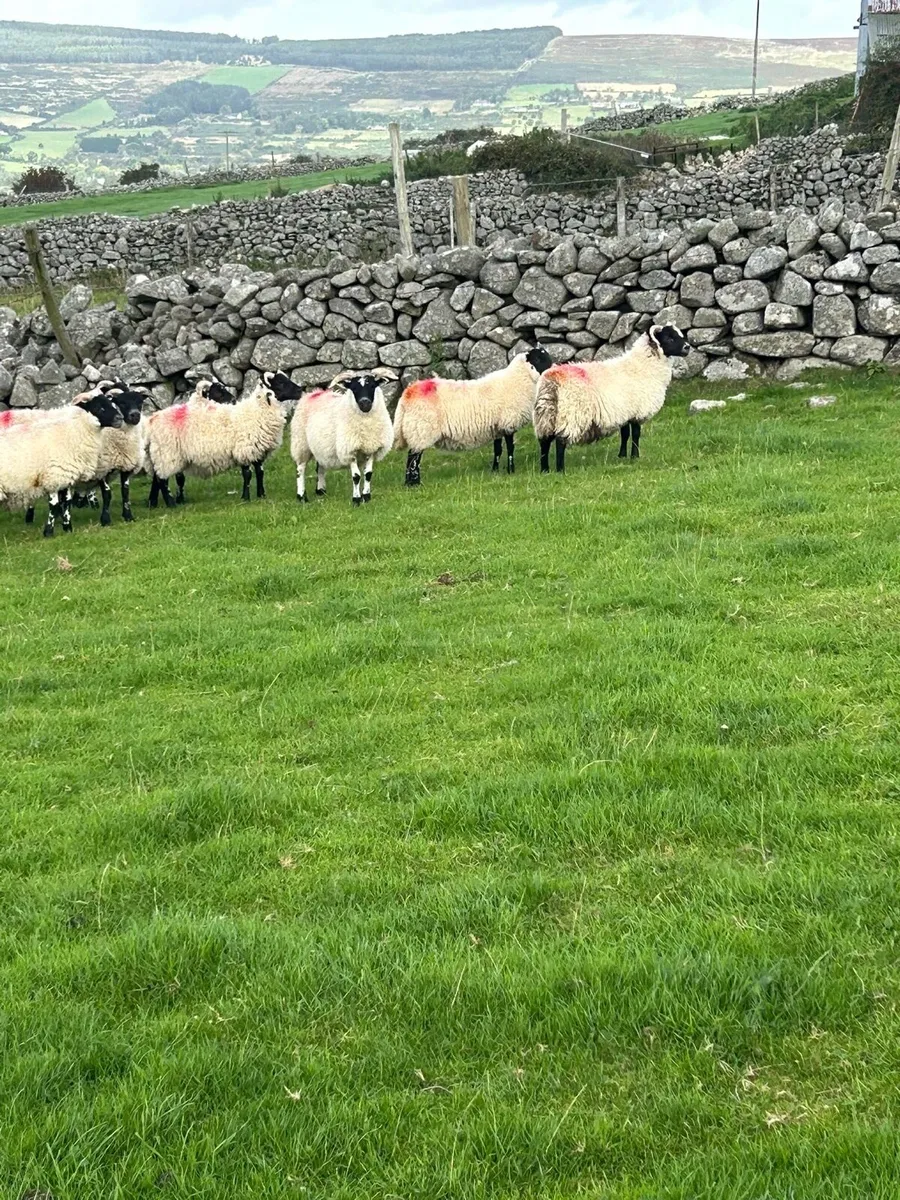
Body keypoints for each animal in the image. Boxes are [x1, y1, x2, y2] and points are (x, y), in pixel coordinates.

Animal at [0, 394, 125, 537]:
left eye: (111, 403)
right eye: (99, 407)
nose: (120, 418)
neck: (73, 432)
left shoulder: (66, 475)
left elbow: (66, 503)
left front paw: (68, 528)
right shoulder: (54, 477)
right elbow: (54, 505)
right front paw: (48, 532)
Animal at [145, 370, 302, 507]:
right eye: (280, 382)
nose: (300, 390)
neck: (257, 410)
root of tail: (152, 420)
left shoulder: (257, 450)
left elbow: (260, 472)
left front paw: (261, 495)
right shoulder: (243, 449)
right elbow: (247, 474)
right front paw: (246, 498)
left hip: (163, 456)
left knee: (159, 478)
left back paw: (155, 502)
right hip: (167, 454)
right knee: (162, 480)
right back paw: (171, 504)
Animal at [290, 369, 397, 506]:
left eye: (373, 385)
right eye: (354, 388)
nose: (365, 403)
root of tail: (314, 394)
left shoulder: (372, 449)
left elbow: (368, 475)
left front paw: (366, 497)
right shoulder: (350, 451)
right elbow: (356, 476)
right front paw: (356, 499)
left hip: (320, 446)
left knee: (320, 467)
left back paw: (321, 490)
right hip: (301, 444)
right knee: (300, 470)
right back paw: (302, 496)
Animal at [392, 343, 553, 487]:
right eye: (538, 359)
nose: (553, 368)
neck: (518, 380)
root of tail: (408, 393)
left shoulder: (497, 427)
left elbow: (497, 450)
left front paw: (495, 470)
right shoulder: (508, 422)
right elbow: (510, 449)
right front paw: (511, 470)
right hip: (421, 430)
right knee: (413, 458)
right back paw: (414, 484)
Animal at [533, 325, 690, 474]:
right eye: (669, 338)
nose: (687, 347)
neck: (643, 366)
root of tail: (552, 379)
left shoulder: (625, 412)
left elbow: (625, 434)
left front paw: (622, 456)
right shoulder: (637, 411)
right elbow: (636, 434)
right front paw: (635, 456)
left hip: (545, 415)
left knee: (544, 443)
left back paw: (545, 470)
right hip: (571, 415)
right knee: (560, 443)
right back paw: (560, 470)